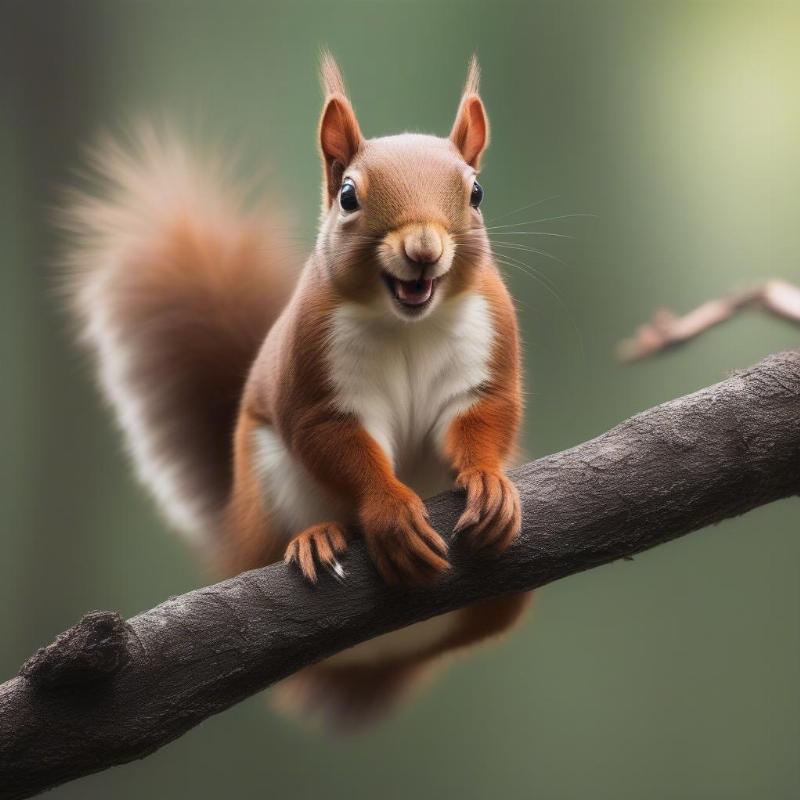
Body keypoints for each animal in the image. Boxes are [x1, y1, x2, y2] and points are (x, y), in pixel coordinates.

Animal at [65, 54, 536, 732]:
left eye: (476, 192)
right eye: (348, 196)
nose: (423, 249)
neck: (407, 323)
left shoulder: (487, 344)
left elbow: (487, 415)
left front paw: (489, 483)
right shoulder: (313, 373)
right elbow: (334, 440)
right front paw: (391, 513)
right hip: (266, 487)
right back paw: (314, 540)